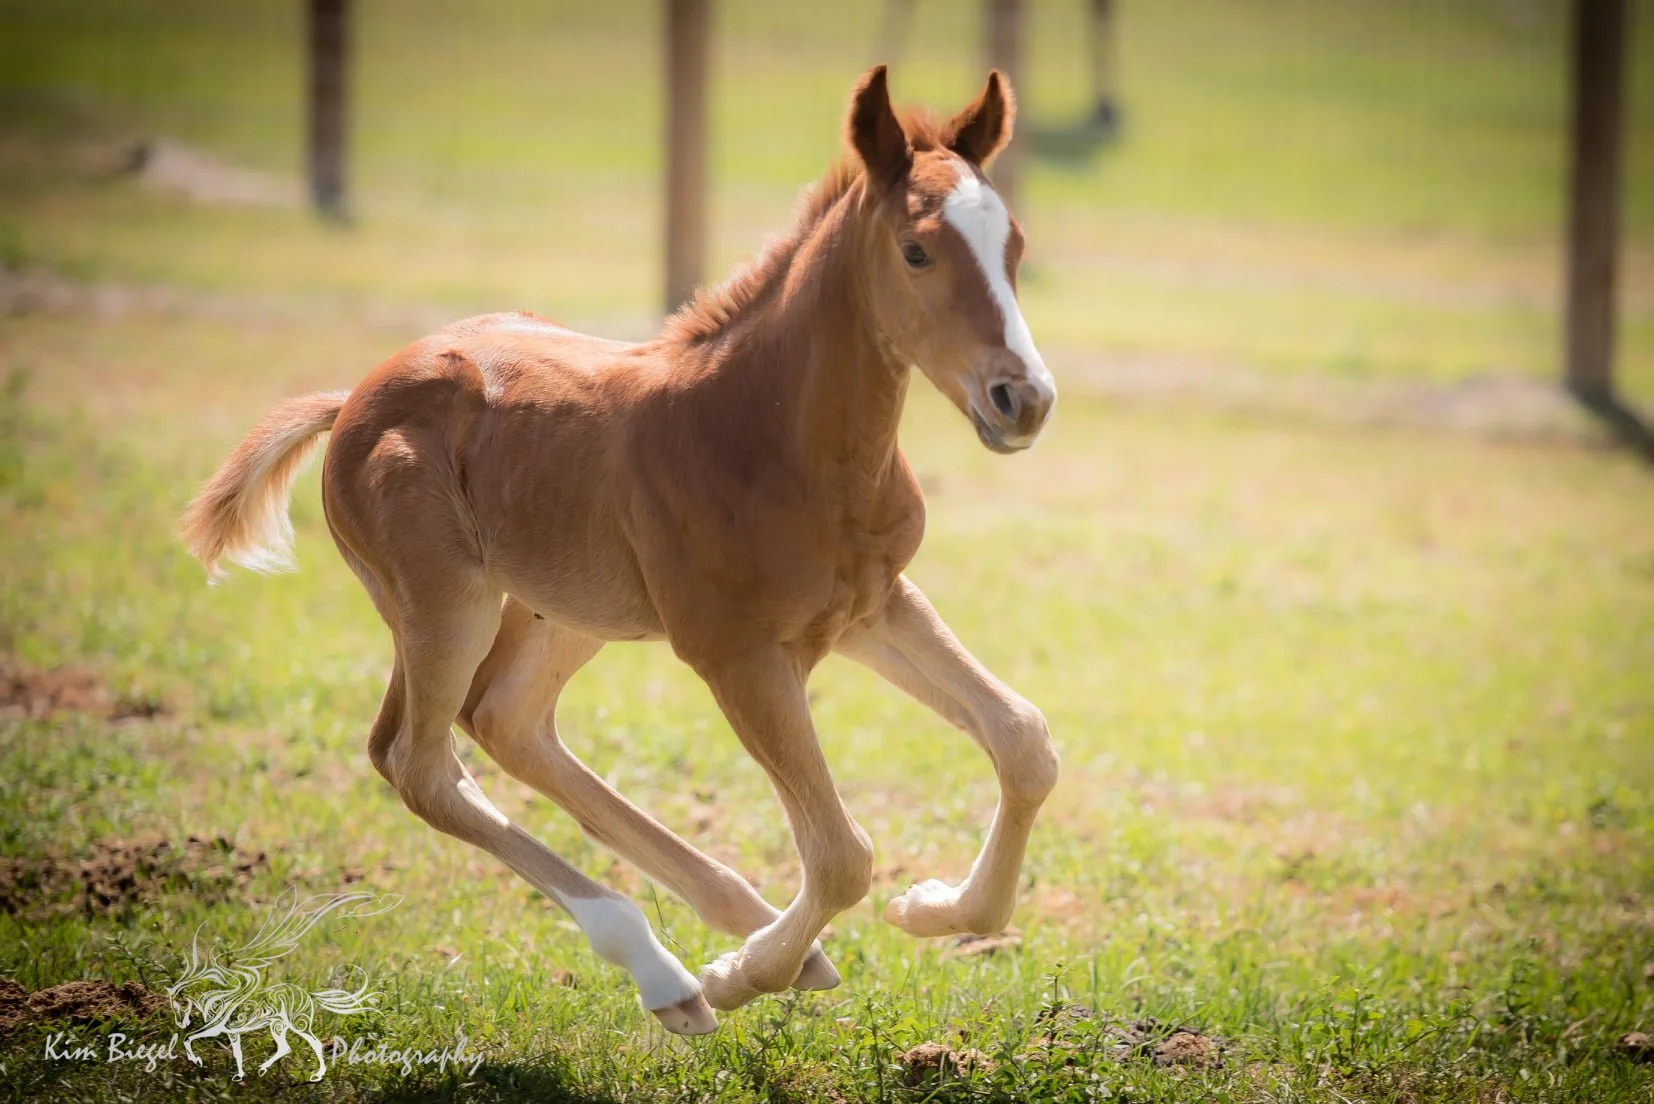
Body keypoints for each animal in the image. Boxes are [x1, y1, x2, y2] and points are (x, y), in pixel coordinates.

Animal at [181, 66, 1058, 1035]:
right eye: (916, 251)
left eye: (1014, 245)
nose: (1023, 398)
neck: (778, 439)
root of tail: (350, 402)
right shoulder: (735, 653)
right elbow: (840, 855)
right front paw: (739, 976)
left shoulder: (873, 605)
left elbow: (1024, 740)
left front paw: (933, 907)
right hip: (445, 602)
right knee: (417, 764)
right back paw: (670, 972)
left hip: (564, 608)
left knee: (501, 720)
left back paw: (758, 934)